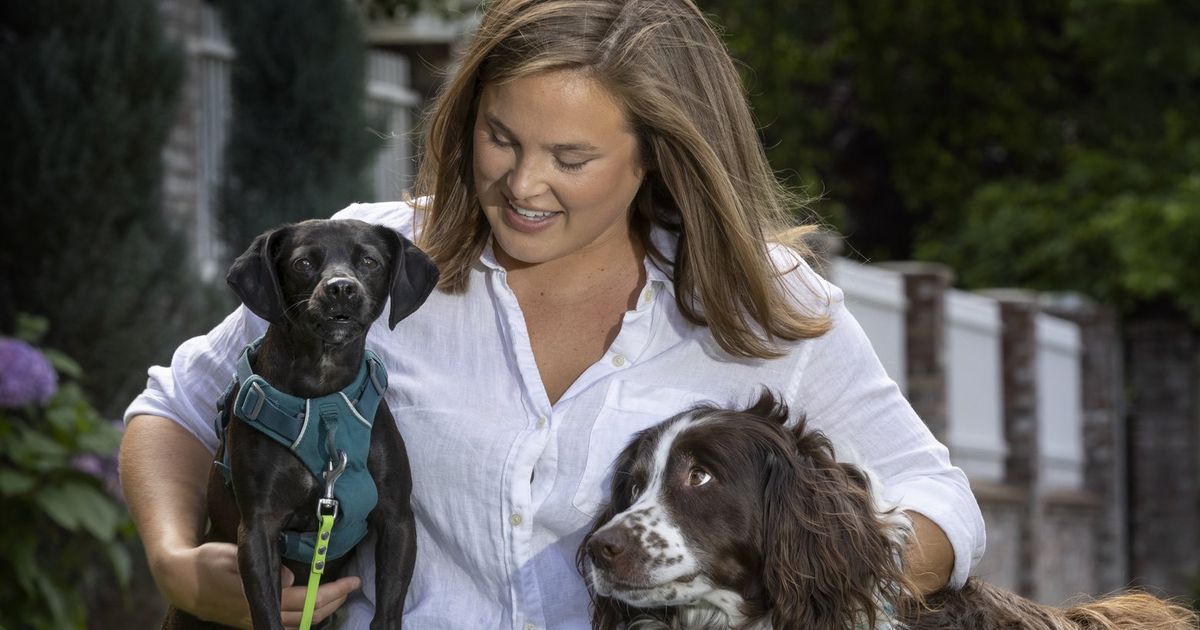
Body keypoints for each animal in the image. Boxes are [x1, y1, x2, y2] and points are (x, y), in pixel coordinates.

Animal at [162, 218, 439, 624]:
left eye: (369, 261)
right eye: (303, 263)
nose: (341, 288)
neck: (323, 402)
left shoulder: (397, 517)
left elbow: (388, 610)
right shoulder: (258, 530)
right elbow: (267, 613)